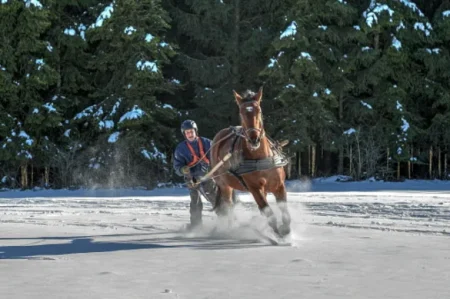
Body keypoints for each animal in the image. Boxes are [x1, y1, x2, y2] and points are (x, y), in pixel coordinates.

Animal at [211, 88, 292, 238]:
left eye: (259, 110)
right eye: (241, 112)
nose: (254, 139)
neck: (260, 159)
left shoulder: (279, 185)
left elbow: (285, 213)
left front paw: (286, 231)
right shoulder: (254, 188)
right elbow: (268, 212)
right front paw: (277, 235)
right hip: (224, 185)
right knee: (228, 206)